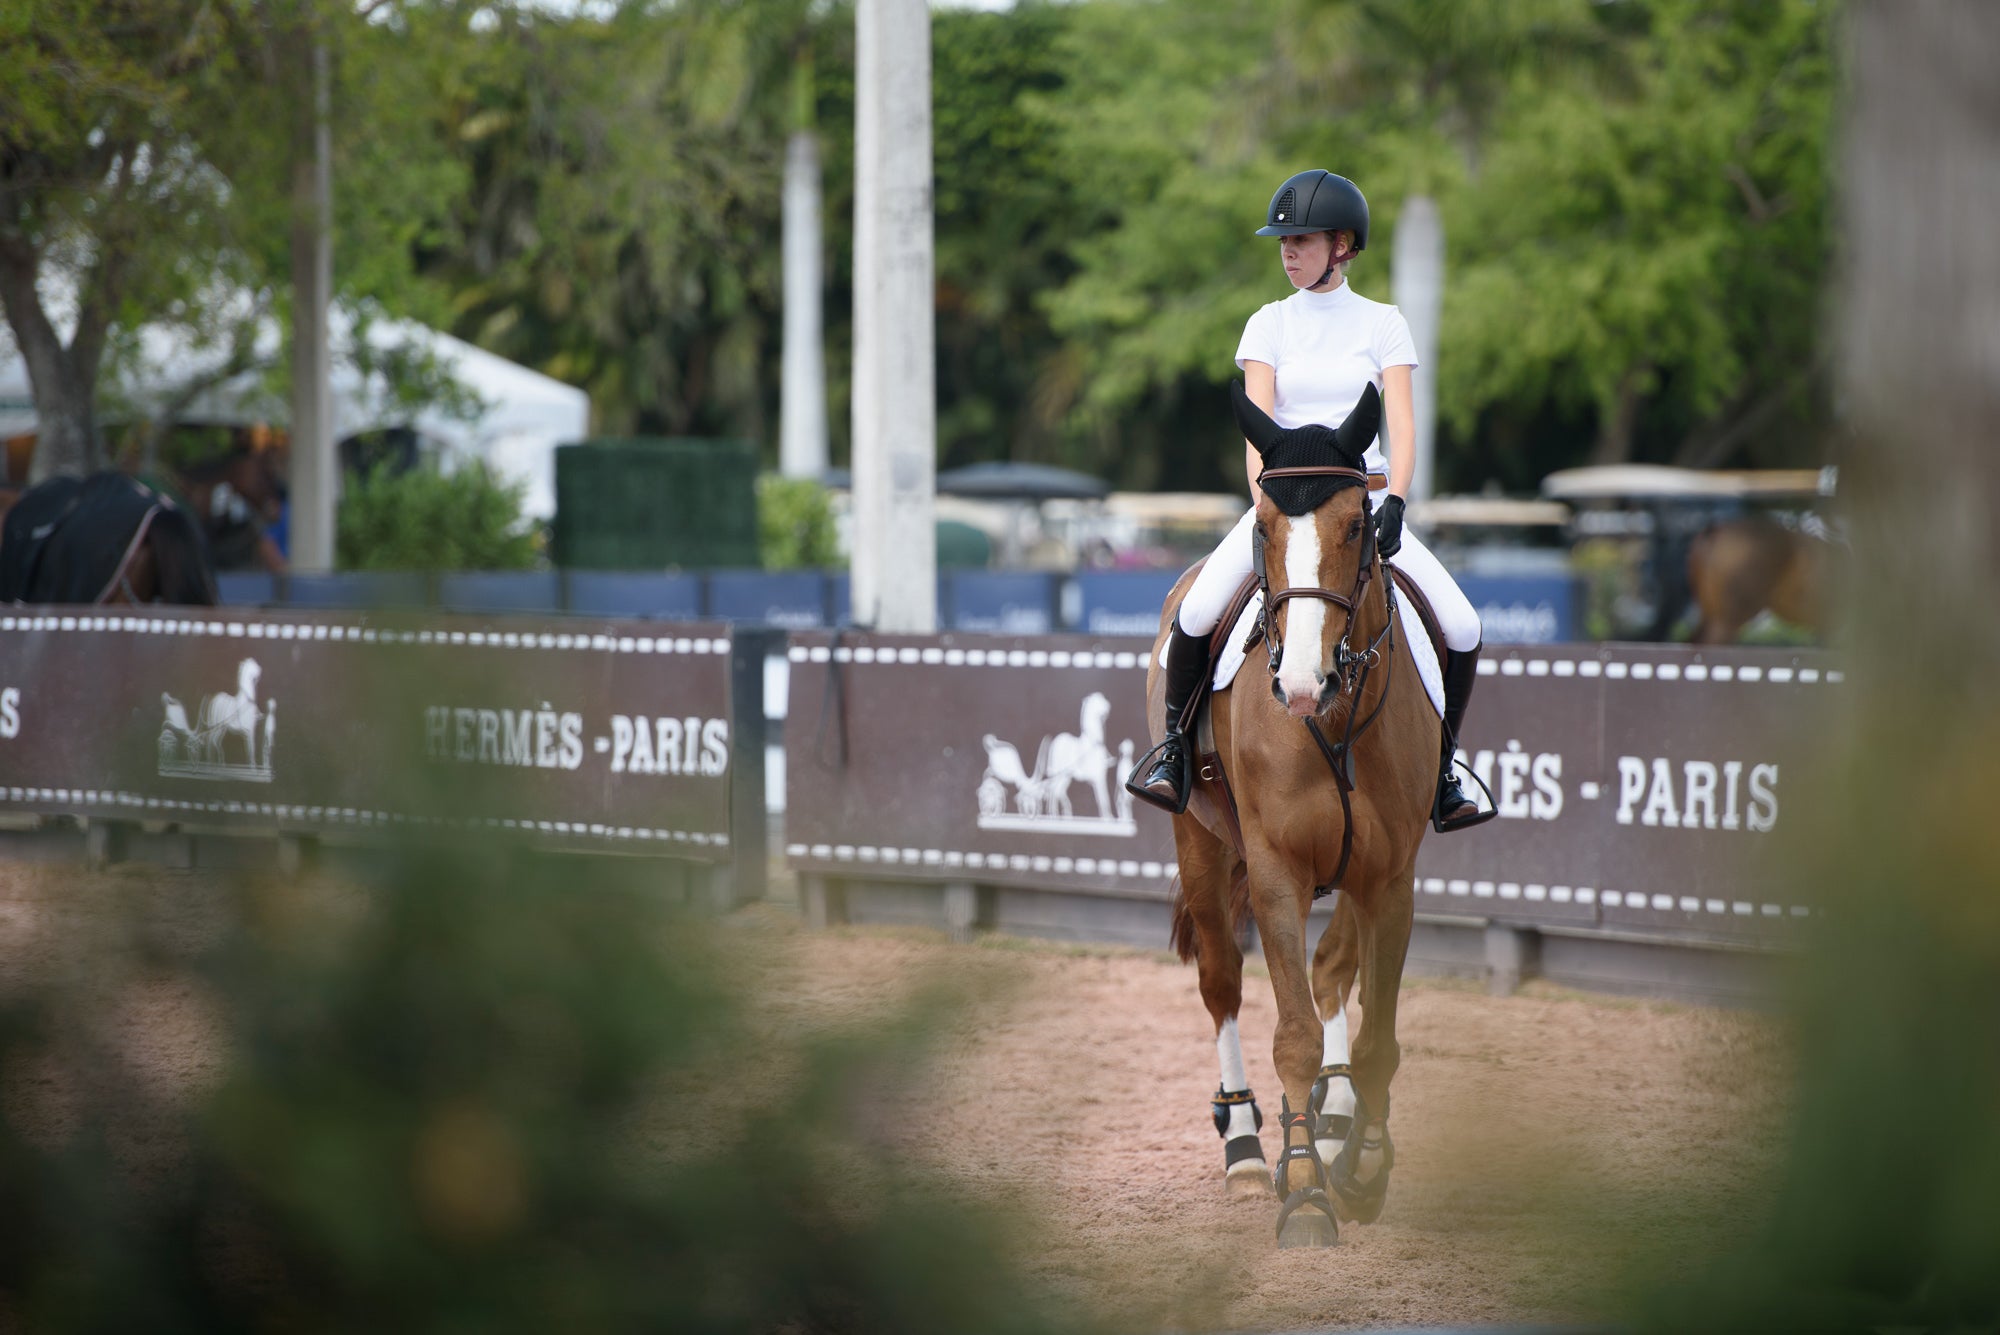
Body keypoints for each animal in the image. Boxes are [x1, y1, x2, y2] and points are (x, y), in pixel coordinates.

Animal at [1149, 382, 1439, 1248]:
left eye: (1356, 523)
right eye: (1264, 525)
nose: (1304, 684)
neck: (1335, 719)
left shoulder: (1391, 878)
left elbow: (1373, 1035)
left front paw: (1361, 1164)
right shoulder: (1277, 869)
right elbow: (1295, 1034)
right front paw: (1307, 1190)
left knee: (1330, 969)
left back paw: (1324, 1127)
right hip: (1201, 847)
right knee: (1221, 981)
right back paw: (1248, 1145)